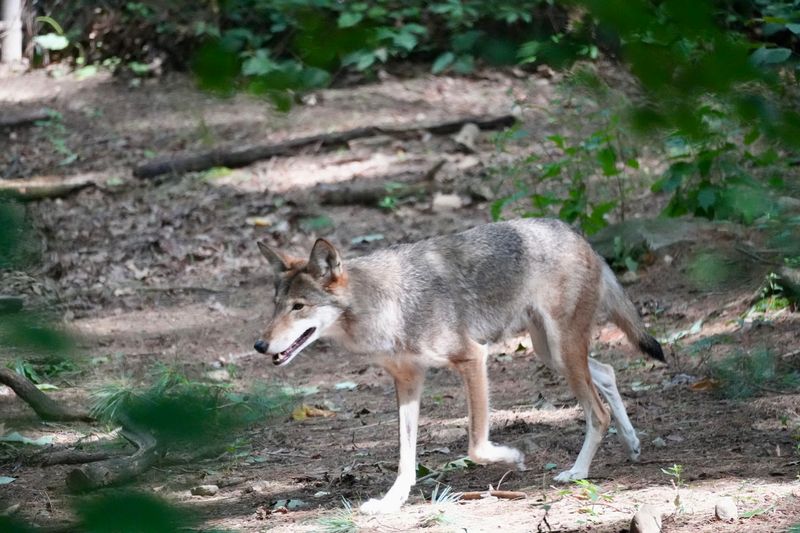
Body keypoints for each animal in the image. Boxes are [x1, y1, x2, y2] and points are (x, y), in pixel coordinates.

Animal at [253, 218, 664, 514]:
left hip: (561, 353)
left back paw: (578, 472)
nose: (260, 345)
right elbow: (405, 459)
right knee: (607, 373)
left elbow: (476, 446)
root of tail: (576, 233)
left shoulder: (473, 358)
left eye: (299, 307)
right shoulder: (408, 381)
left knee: (598, 411)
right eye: (275, 306)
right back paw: (632, 444)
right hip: (551, 353)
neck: (385, 305)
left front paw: (513, 458)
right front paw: (390, 503)